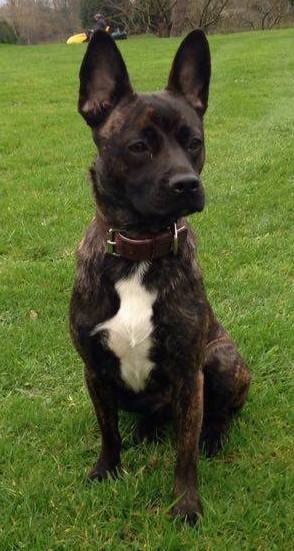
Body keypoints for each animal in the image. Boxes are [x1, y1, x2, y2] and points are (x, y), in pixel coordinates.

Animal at [69, 31, 250, 528]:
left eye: (195, 142)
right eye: (138, 146)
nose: (186, 183)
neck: (140, 250)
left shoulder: (190, 374)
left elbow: (184, 450)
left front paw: (185, 504)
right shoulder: (94, 368)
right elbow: (107, 430)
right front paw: (106, 470)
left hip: (221, 360)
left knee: (218, 415)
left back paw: (212, 438)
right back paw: (147, 431)